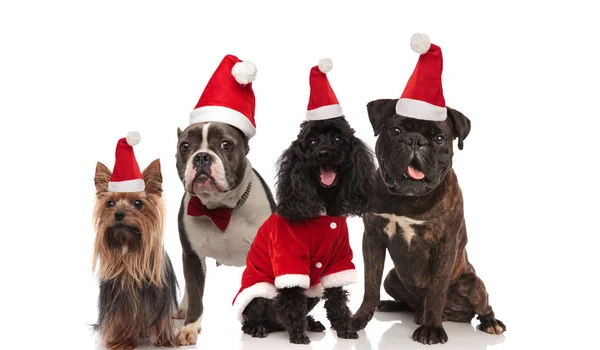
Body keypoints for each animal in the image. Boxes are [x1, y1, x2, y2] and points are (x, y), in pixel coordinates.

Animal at [350, 98, 504, 344]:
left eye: (439, 138)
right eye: (395, 131)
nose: (415, 140)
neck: (408, 199)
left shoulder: (445, 246)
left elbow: (436, 292)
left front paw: (431, 328)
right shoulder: (372, 238)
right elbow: (370, 284)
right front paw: (360, 318)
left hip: (475, 286)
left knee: (483, 306)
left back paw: (490, 322)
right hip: (392, 278)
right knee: (407, 301)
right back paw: (391, 305)